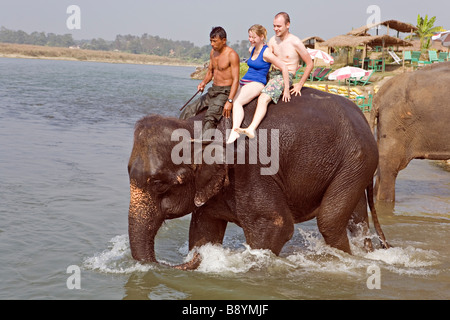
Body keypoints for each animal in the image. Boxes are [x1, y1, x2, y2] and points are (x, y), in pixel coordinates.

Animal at [128, 86, 388, 268]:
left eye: (159, 183)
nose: (170, 264)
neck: (197, 127)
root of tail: (364, 118)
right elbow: (204, 228)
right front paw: (203, 252)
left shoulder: (250, 171)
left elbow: (276, 225)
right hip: (355, 167)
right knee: (355, 221)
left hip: (356, 160)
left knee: (330, 221)